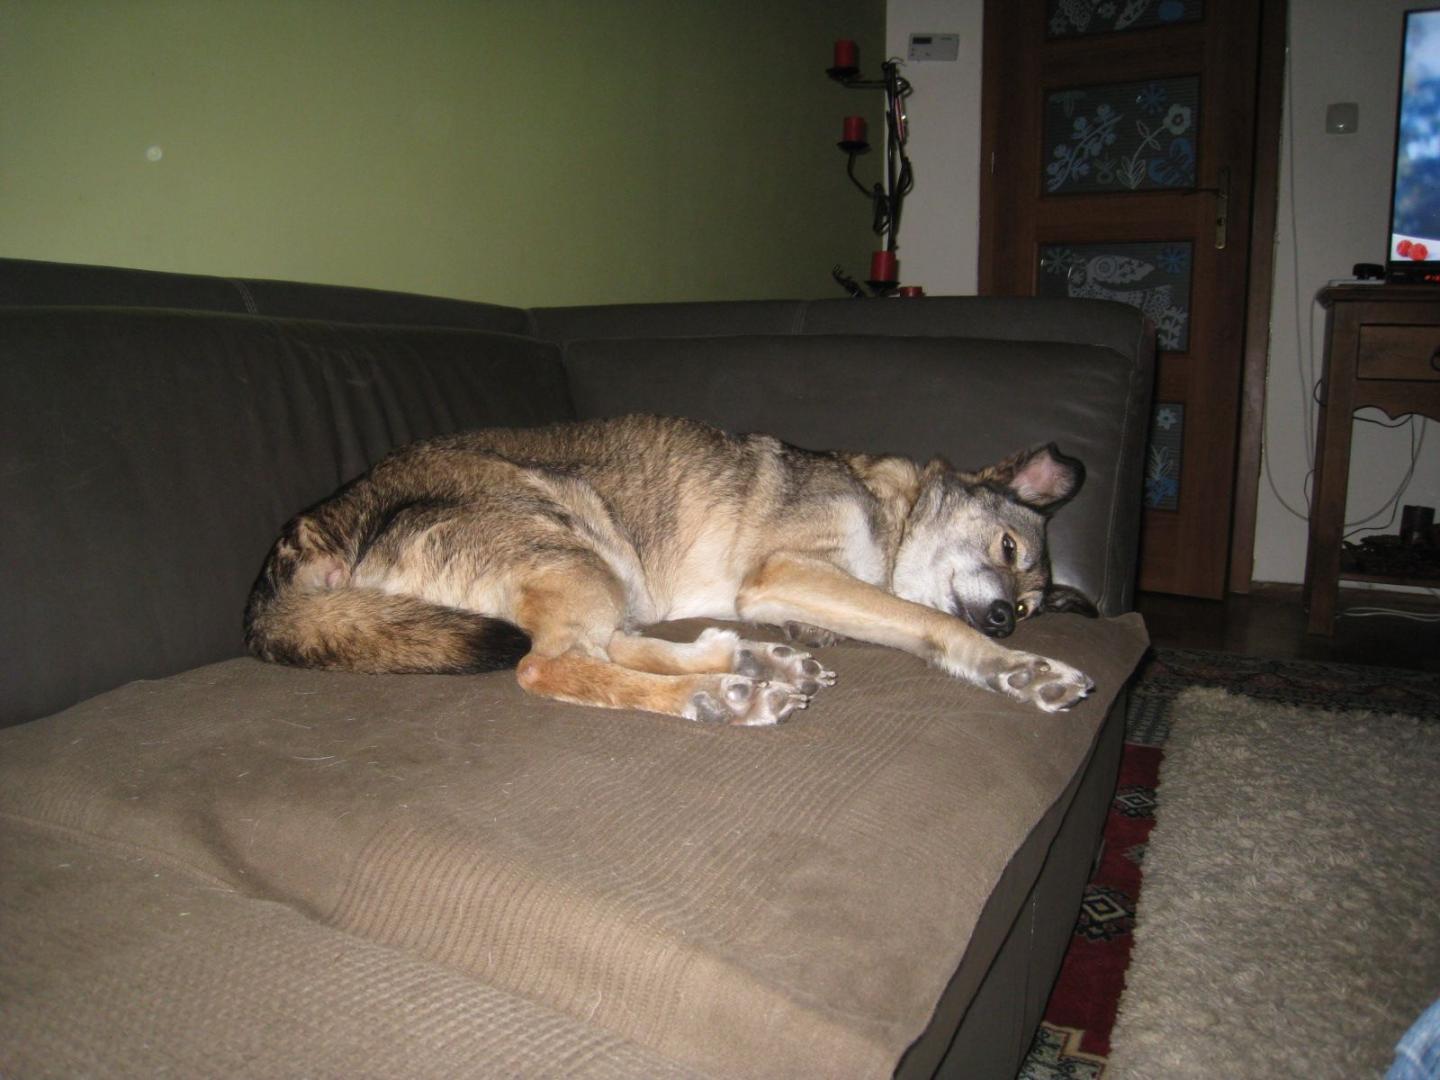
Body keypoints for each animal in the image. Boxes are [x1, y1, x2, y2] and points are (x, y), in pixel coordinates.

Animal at [245, 415, 1098, 724]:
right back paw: (714, 694)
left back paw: (745, 661)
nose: (1004, 619)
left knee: (608, 647)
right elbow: (924, 621)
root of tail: (320, 520)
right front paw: (1022, 672)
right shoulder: (785, 570)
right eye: (1009, 550)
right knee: (549, 665)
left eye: (1030, 606)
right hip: (577, 536)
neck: (895, 510)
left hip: (608, 569)